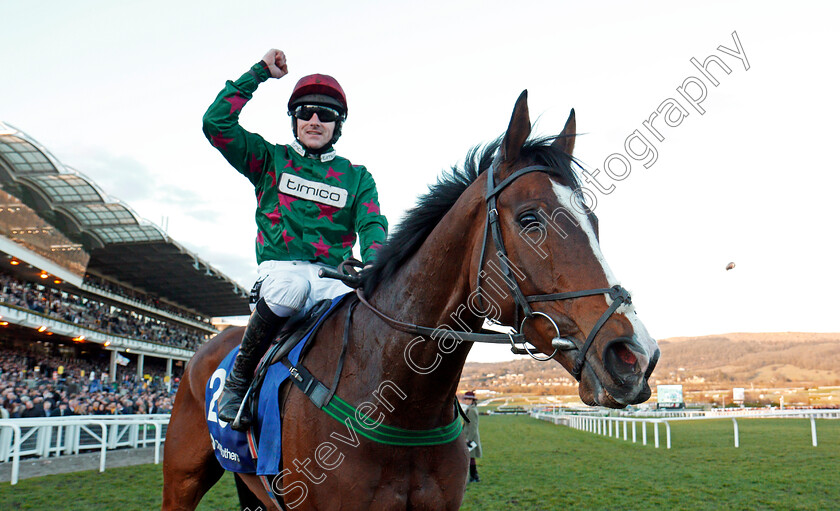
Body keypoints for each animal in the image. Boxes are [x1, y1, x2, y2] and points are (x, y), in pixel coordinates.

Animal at [162, 93, 664, 511]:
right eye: (530, 219)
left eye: (593, 221)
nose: (635, 357)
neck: (401, 404)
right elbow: (223, 129)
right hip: (182, 479)